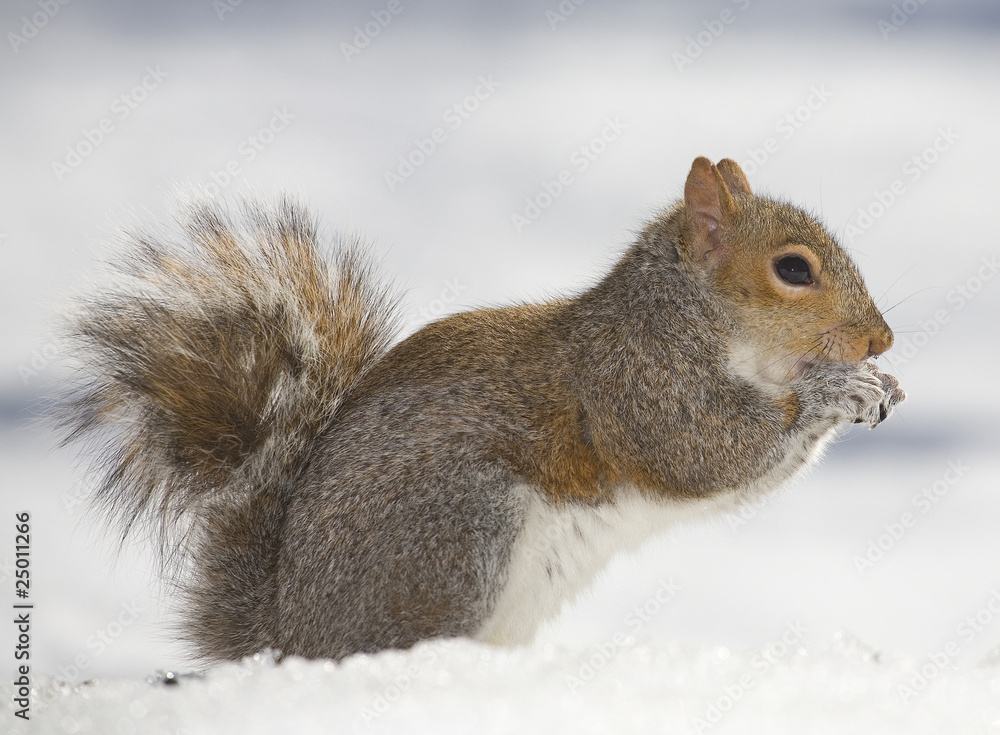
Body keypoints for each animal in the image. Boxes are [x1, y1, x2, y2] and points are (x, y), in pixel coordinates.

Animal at [63, 157, 904, 663]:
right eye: (793, 269)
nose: (881, 338)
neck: (691, 316)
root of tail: (291, 631)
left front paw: (882, 384)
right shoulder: (637, 385)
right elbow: (708, 451)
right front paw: (838, 390)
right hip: (455, 535)